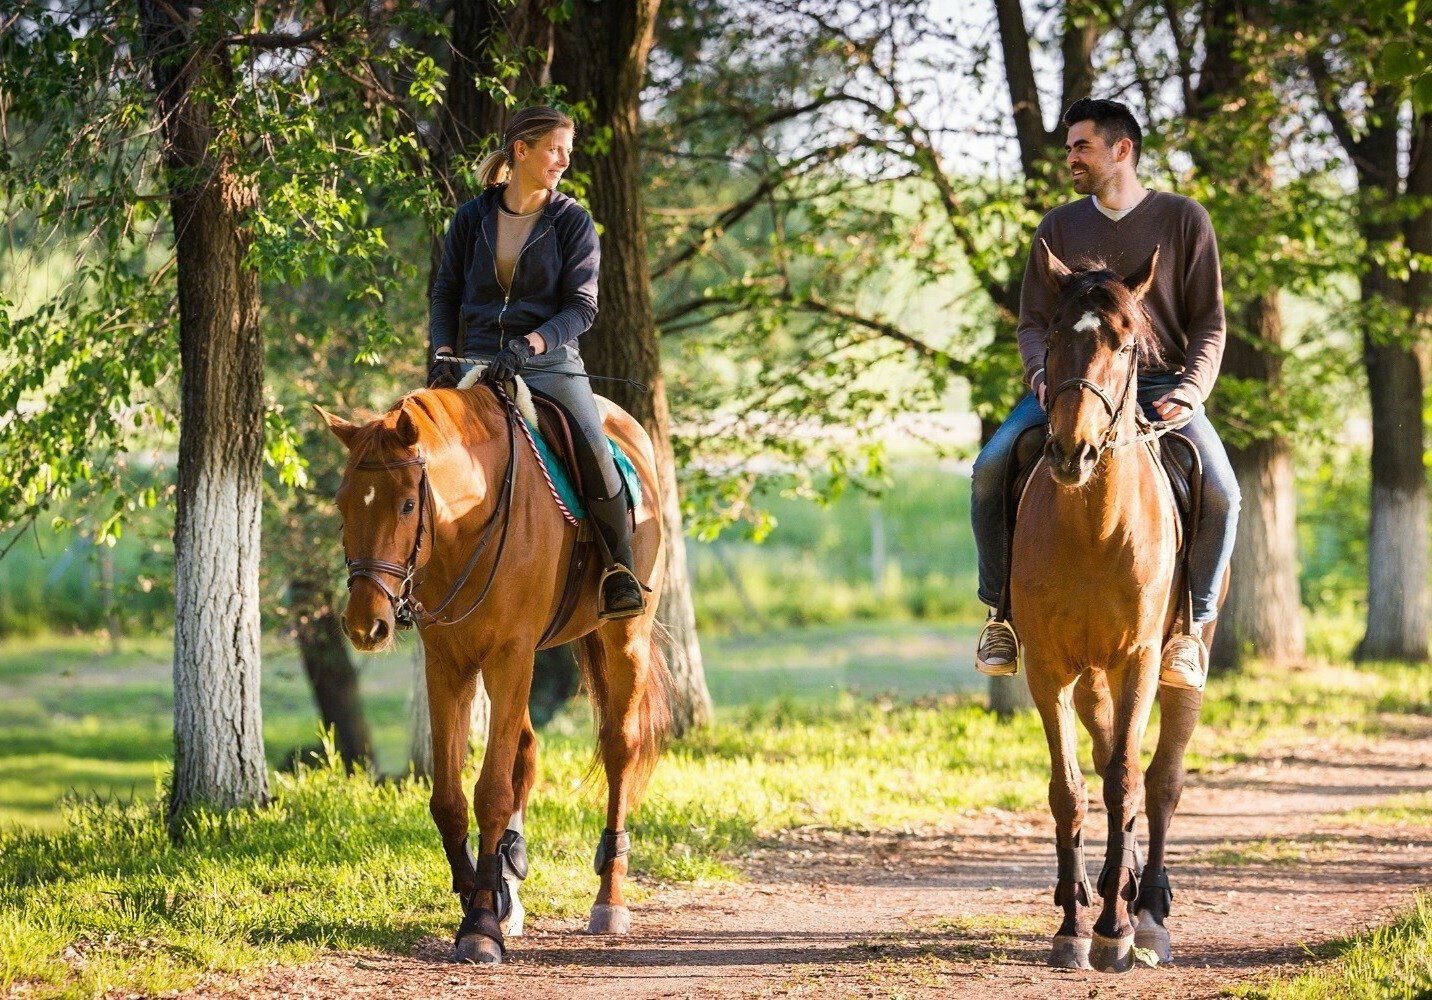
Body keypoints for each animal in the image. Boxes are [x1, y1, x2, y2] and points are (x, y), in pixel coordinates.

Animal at [316, 378, 667, 962]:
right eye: (343, 504)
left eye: (407, 504)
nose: (367, 626)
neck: (468, 523)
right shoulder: (449, 664)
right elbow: (451, 799)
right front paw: (478, 896)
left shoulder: (509, 656)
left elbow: (492, 792)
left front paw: (481, 924)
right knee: (526, 752)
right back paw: (511, 886)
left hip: (623, 639)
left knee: (620, 748)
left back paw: (608, 902)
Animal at [1013, 243, 1214, 974]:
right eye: (1051, 339)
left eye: (1126, 344)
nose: (1071, 452)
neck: (1095, 529)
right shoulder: (1049, 670)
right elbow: (1070, 789)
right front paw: (1074, 924)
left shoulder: (1138, 663)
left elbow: (1129, 782)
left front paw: (1114, 930)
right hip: (1090, 678)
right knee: (1103, 764)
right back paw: (1110, 885)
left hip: (1181, 664)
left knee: (1161, 781)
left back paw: (1147, 908)